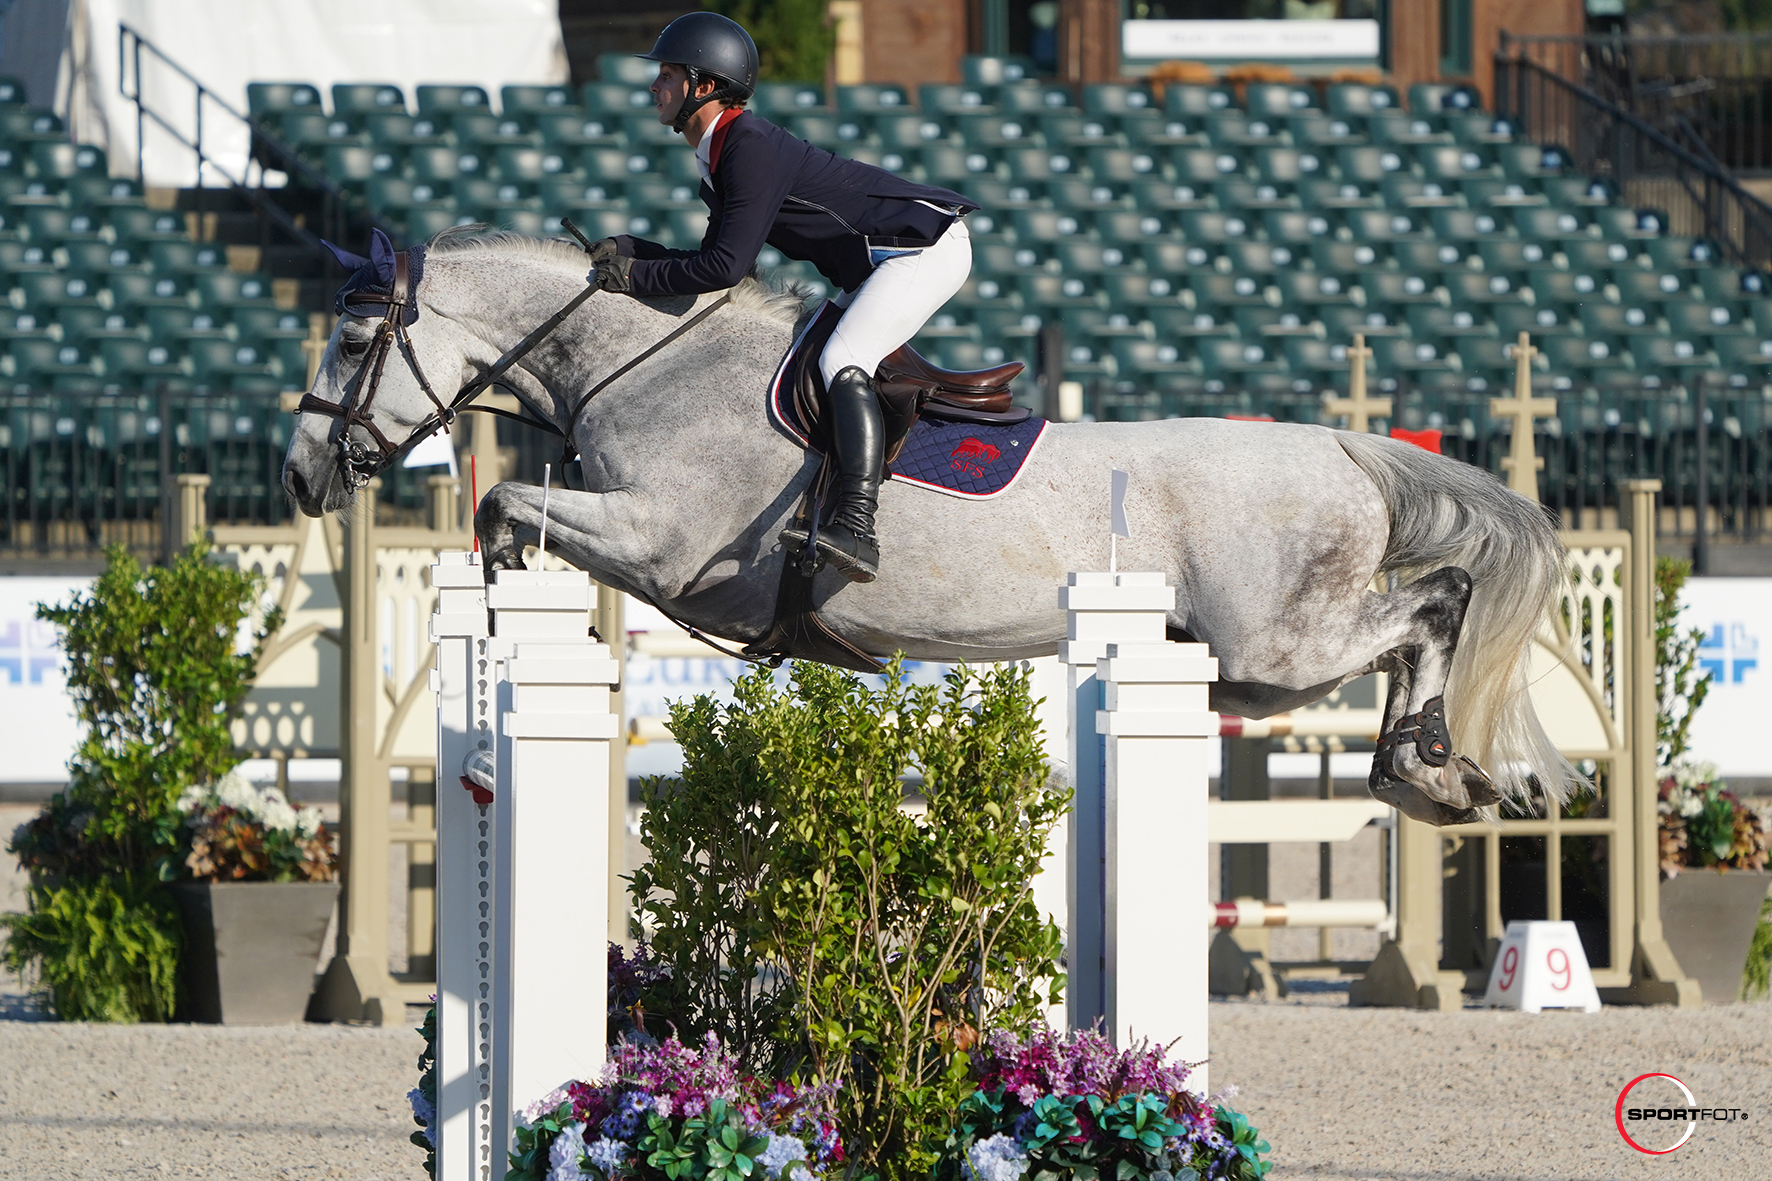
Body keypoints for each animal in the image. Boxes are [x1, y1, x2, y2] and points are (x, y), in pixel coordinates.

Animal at [287, 226, 1580, 819]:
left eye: (351, 341)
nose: (302, 476)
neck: (642, 363)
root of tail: (1339, 445)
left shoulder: (666, 545)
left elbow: (505, 501)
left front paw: (509, 582)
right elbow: (507, 508)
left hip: (1271, 648)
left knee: (1432, 606)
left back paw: (1421, 761)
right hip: (1256, 659)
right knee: (1420, 618)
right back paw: (1429, 767)